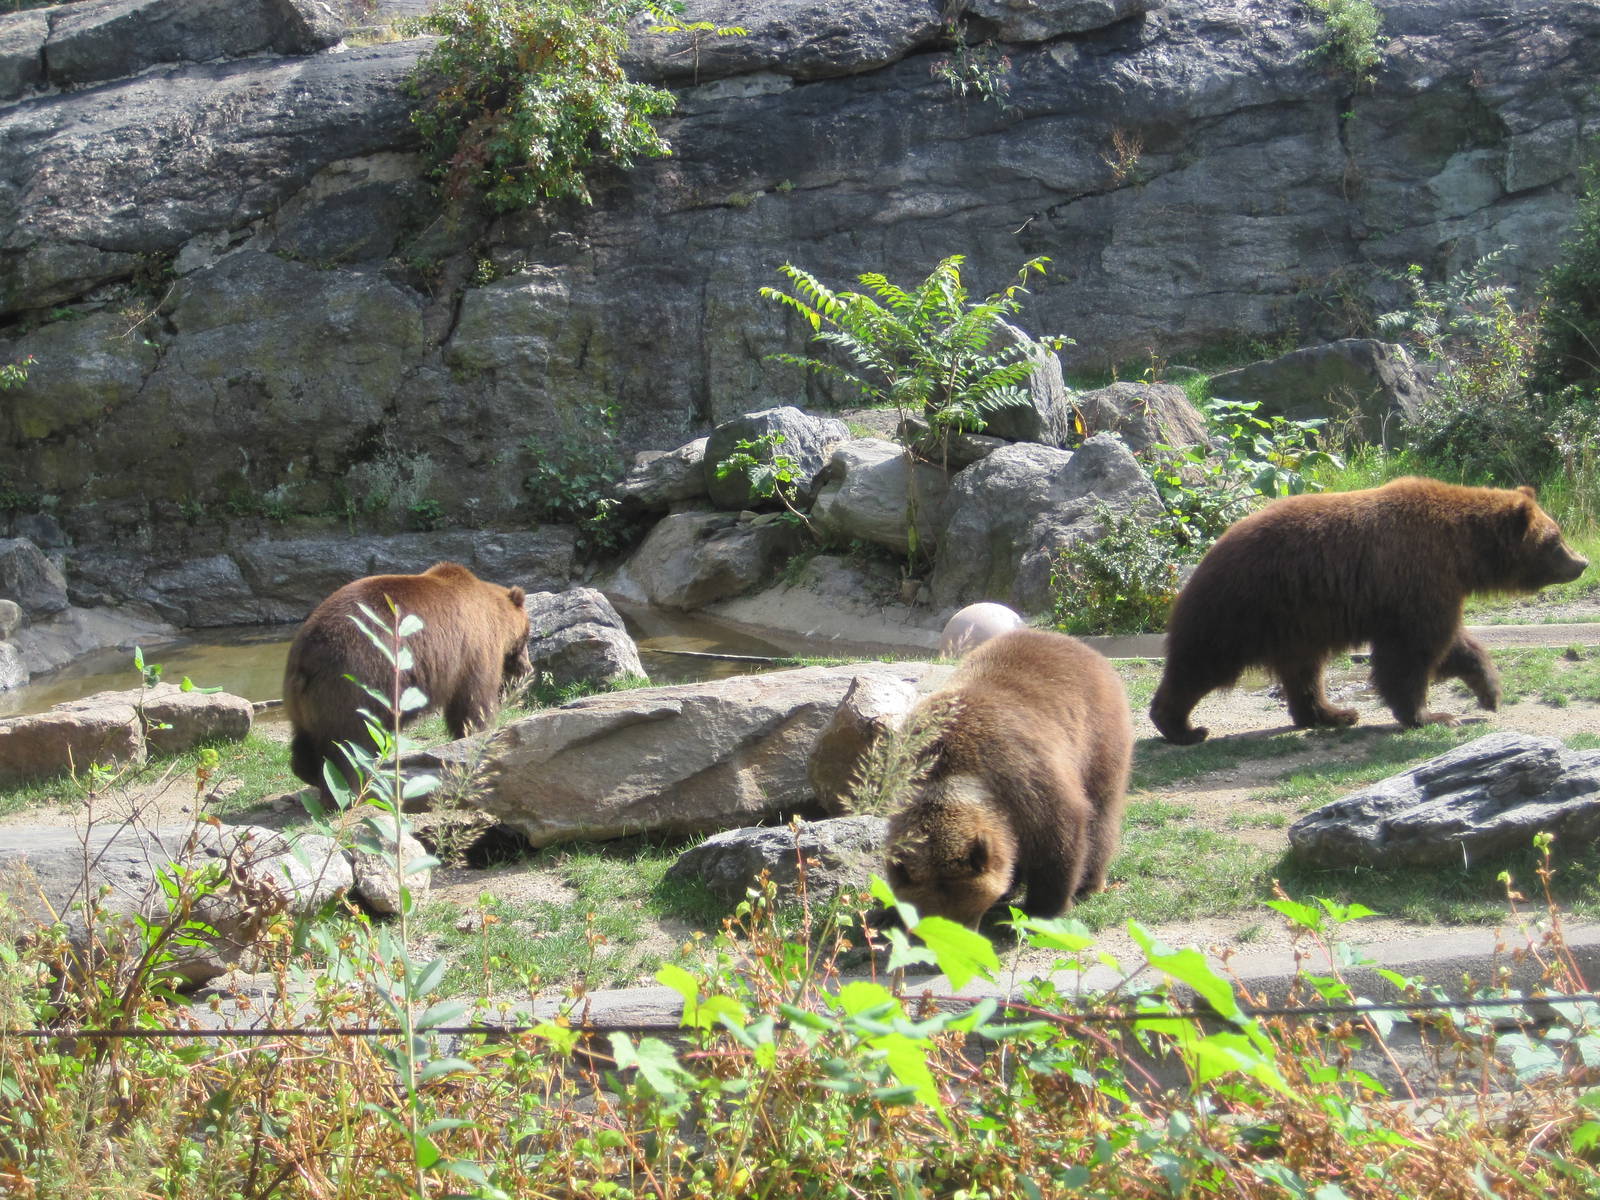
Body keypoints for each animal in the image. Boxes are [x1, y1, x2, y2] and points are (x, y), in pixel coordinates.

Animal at [284, 562, 531, 795]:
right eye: (527, 636)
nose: (527, 669)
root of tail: (306, 655)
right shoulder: (473, 650)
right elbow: (473, 701)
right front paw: (478, 732)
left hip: (304, 700)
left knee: (306, 739)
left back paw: (311, 774)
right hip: (356, 683)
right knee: (348, 744)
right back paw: (348, 790)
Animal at [883, 628, 1133, 927]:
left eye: (967, 912)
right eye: (926, 913)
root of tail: (1073, 642)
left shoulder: (1024, 778)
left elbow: (1059, 841)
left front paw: (1044, 909)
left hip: (1098, 739)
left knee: (1101, 813)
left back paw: (1090, 883)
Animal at [1149, 477, 1589, 745]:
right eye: (1555, 540)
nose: (1582, 562)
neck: (1463, 552)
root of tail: (1208, 553)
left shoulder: (1430, 589)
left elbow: (1453, 643)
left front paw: (1490, 692)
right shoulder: (1416, 580)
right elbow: (1414, 653)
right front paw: (1432, 715)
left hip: (1298, 622)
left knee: (1304, 671)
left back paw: (1333, 713)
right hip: (1245, 607)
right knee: (1203, 662)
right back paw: (1181, 726)